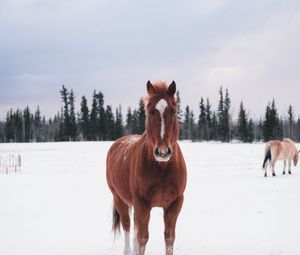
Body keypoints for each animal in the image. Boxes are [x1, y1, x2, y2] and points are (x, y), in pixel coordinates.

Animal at [105, 80, 185, 254]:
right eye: (150, 112)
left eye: (173, 111)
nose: (162, 152)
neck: (162, 167)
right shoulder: (142, 204)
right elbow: (142, 239)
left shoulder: (175, 204)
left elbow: (169, 238)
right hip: (120, 199)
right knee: (127, 227)